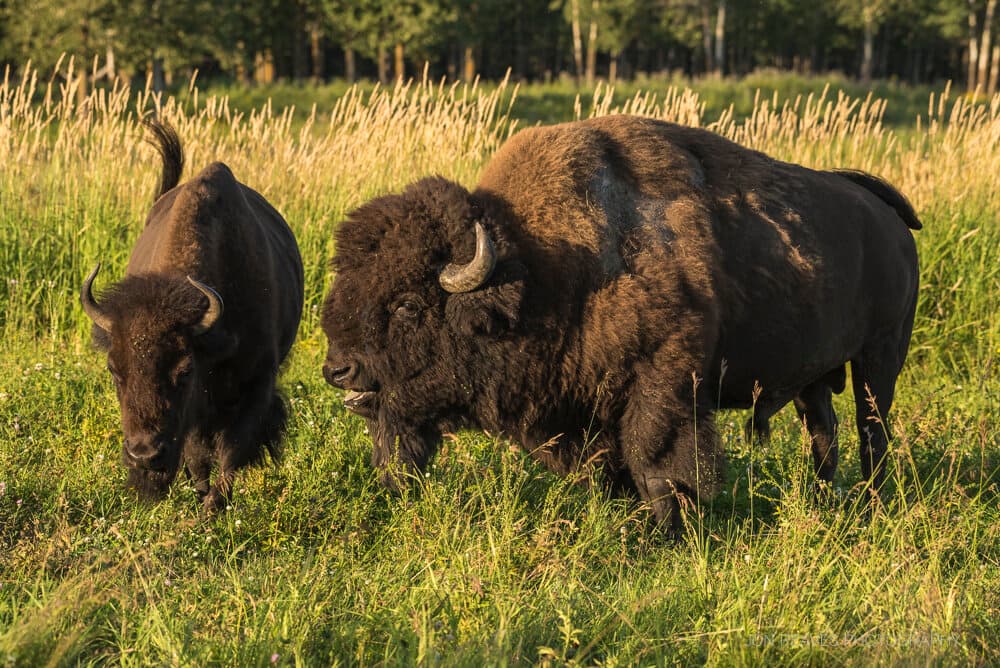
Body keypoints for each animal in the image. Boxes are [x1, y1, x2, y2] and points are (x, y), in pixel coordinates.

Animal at [81, 120, 302, 512]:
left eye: (185, 371)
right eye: (113, 370)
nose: (144, 456)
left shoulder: (257, 383)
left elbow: (231, 451)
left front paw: (212, 508)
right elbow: (198, 455)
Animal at [322, 115, 920, 532]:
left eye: (407, 305)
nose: (337, 370)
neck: (542, 269)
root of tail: (887, 214)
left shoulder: (664, 387)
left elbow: (654, 465)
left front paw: (667, 535)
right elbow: (614, 470)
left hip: (879, 360)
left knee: (872, 431)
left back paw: (869, 504)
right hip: (812, 376)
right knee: (824, 432)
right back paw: (822, 503)